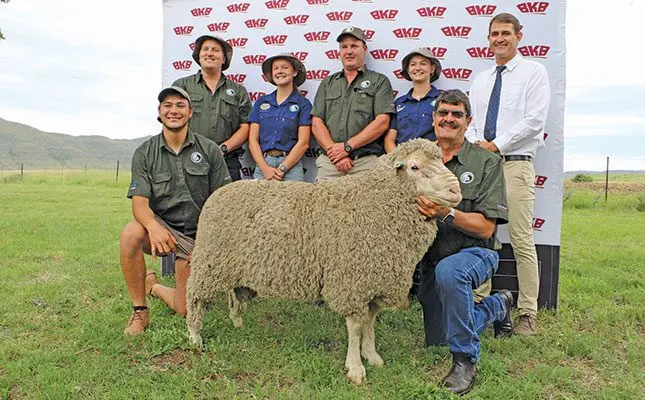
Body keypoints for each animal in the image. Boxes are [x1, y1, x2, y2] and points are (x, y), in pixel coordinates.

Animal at [186, 138, 462, 384]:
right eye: (415, 167)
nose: (456, 191)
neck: (375, 203)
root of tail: (220, 191)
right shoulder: (352, 280)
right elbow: (355, 326)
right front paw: (355, 368)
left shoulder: (374, 279)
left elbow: (370, 321)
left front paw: (372, 356)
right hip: (209, 260)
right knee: (194, 296)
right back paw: (194, 336)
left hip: (231, 264)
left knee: (233, 293)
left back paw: (237, 322)